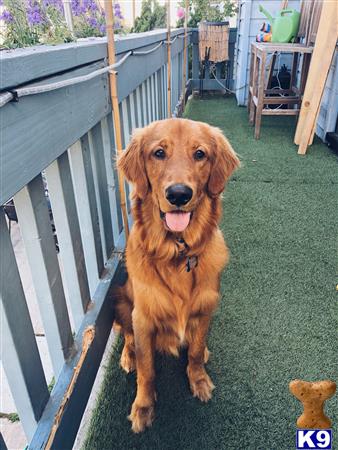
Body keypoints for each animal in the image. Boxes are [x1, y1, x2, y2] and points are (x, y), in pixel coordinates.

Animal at [115, 118, 239, 432]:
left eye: (200, 154)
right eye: (158, 153)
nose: (179, 194)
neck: (177, 253)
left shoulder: (206, 308)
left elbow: (194, 352)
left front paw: (199, 379)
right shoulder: (143, 317)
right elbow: (146, 368)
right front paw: (143, 406)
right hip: (120, 301)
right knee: (128, 336)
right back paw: (128, 356)